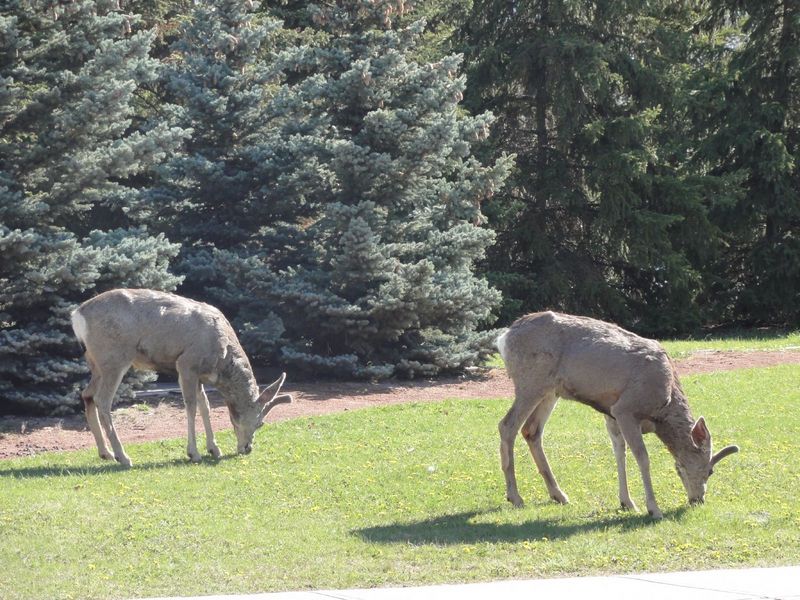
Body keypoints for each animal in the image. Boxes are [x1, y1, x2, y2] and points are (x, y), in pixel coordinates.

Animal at [70, 288, 292, 466]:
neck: (221, 356)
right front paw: (193, 453)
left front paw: (214, 449)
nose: (247, 448)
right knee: (102, 399)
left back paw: (105, 452)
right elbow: (191, 406)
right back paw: (122, 456)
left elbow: (205, 406)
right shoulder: (186, 363)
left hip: (95, 362)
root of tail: (77, 315)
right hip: (114, 357)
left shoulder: (200, 374)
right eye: (261, 422)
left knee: (87, 394)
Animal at [496, 312, 740, 516]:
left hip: (551, 390)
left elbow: (619, 452)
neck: (663, 405)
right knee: (507, 425)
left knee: (531, 430)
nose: (698, 500)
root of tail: (504, 337)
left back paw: (559, 495)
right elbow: (642, 457)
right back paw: (515, 497)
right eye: (710, 471)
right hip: (531, 381)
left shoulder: (610, 413)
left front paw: (627, 502)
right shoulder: (626, 408)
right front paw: (653, 508)